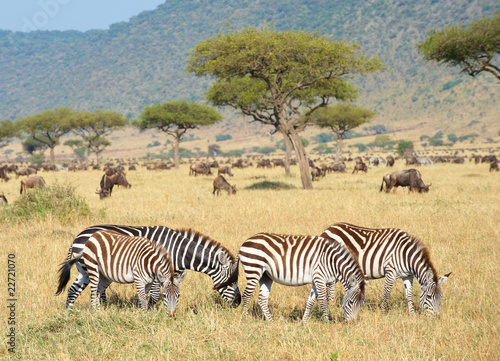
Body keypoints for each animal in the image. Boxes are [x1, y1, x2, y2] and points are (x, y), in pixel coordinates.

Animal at [56, 229, 185, 314]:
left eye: (178, 295)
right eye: (165, 295)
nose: (172, 315)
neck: (149, 262)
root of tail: (94, 235)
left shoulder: (148, 283)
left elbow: (142, 298)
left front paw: (139, 313)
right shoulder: (138, 279)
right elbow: (143, 300)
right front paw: (145, 316)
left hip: (97, 274)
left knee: (85, 290)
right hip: (93, 268)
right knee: (93, 292)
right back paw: (94, 313)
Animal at [61, 224, 241, 308]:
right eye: (231, 281)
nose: (238, 303)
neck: (177, 251)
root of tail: (77, 237)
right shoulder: (155, 272)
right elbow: (154, 296)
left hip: (84, 272)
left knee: (73, 290)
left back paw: (70, 314)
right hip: (89, 269)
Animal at [236, 232, 366, 322]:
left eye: (361, 305)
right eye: (350, 302)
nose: (351, 323)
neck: (331, 261)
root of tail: (245, 242)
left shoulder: (316, 281)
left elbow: (310, 302)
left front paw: (304, 321)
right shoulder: (319, 278)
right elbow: (324, 302)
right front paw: (327, 322)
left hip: (265, 276)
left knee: (262, 299)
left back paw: (270, 321)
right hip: (254, 270)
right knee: (246, 295)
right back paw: (245, 318)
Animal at [322, 221, 452, 314]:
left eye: (440, 297)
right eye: (429, 296)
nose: (436, 317)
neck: (405, 255)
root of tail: (327, 229)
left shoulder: (408, 276)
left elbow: (409, 295)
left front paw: (412, 314)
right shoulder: (390, 271)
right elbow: (386, 294)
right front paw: (383, 312)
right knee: (330, 288)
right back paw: (332, 307)